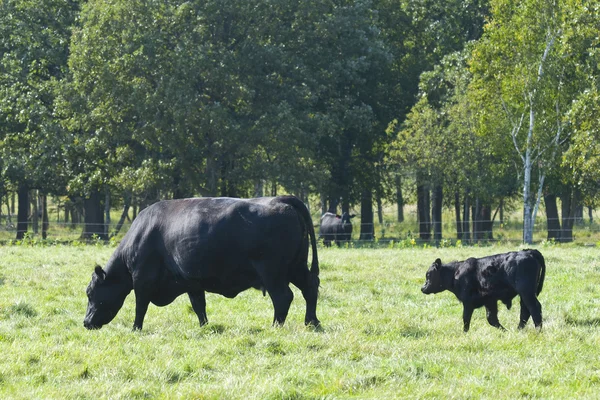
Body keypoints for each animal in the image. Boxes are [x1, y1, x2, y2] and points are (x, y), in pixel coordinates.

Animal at [85, 196, 322, 332]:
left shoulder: (142, 280)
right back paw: (312, 322)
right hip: (297, 266)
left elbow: (140, 307)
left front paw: (135, 329)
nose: (86, 322)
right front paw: (204, 327)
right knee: (310, 288)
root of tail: (282, 199)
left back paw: (275, 327)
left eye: (89, 292)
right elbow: (199, 306)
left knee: (283, 297)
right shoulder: (191, 282)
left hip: (272, 272)